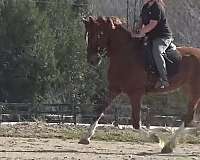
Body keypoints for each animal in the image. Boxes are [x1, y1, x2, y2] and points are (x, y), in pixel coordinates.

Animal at [79, 15, 200, 151]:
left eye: (98, 34)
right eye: (87, 35)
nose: (92, 60)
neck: (124, 53)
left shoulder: (135, 93)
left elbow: (136, 122)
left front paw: (155, 138)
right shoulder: (114, 89)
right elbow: (99, 111)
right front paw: (86, 137)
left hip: (194, 91)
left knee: (189, 117)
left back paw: (169, 145)